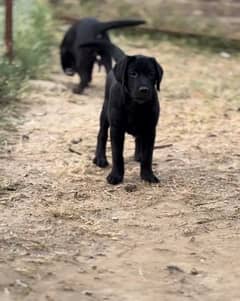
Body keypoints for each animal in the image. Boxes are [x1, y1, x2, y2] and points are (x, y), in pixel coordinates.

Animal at [79, 41, 164, 184]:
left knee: (138, 138)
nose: (144, 90)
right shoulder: (117, 129)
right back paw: (100, 158)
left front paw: (148, 175)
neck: (135, 105)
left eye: (151, 74)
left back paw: (138, 155)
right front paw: (116, 176)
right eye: (133, 74)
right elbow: (117, 155)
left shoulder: (150, 129)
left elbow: (148, 155)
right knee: (101, 135)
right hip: (105, 113)